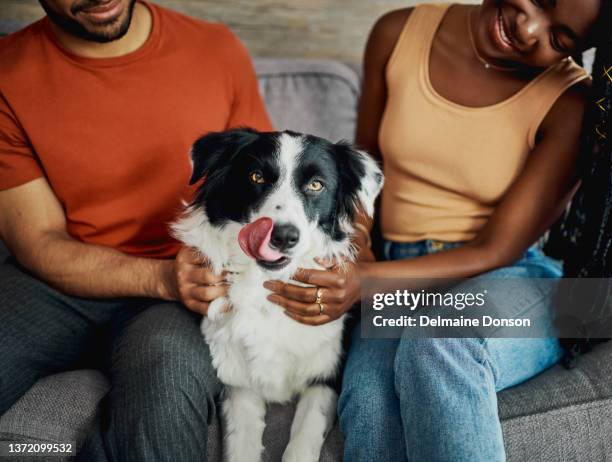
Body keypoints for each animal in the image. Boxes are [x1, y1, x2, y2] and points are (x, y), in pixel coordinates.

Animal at [173, 128, 382, 462]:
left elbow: (302, 441)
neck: (266, 286)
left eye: (316, 184)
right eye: (256, 177)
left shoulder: (325, 377)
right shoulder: (238, 386)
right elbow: (241, 448)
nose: (283, 236)